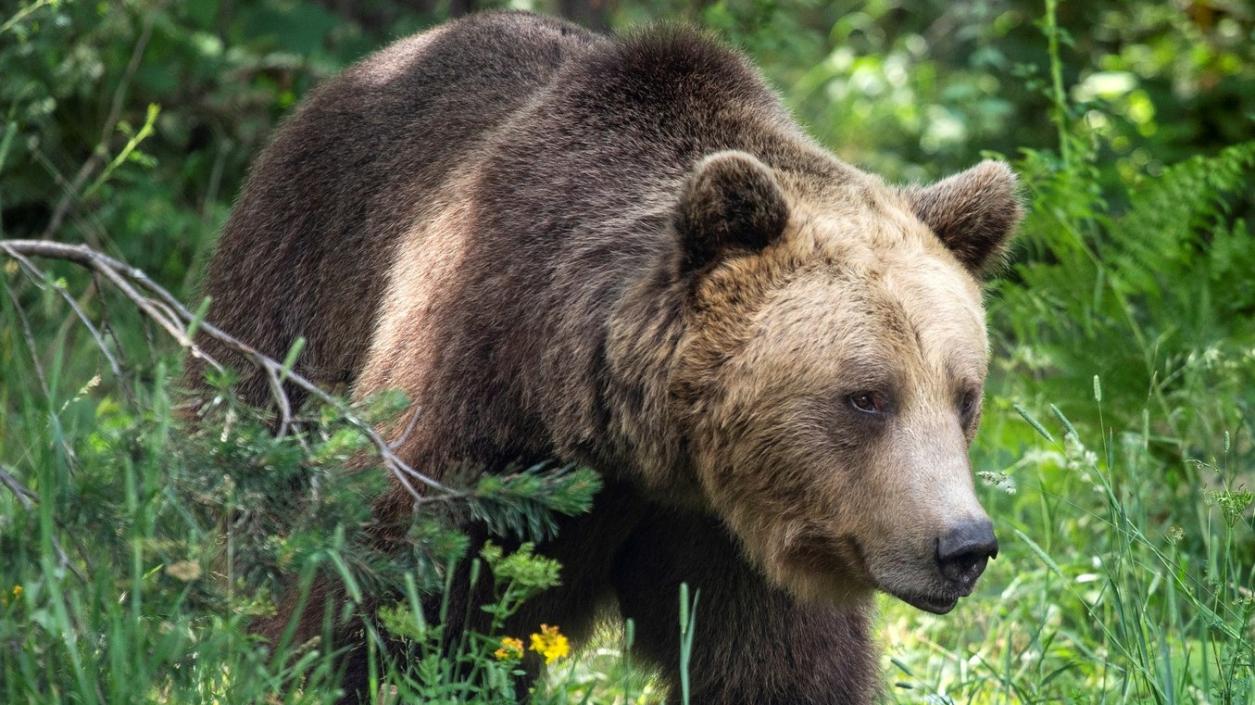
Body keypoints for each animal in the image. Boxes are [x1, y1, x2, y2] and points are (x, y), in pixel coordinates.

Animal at [193, 10, 1019, 702]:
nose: (963, 544)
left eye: (963, 395)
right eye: (866, 396)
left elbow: (777, 666)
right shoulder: (467, 407)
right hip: (291, 299)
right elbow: (375, 591)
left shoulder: (732, 536)